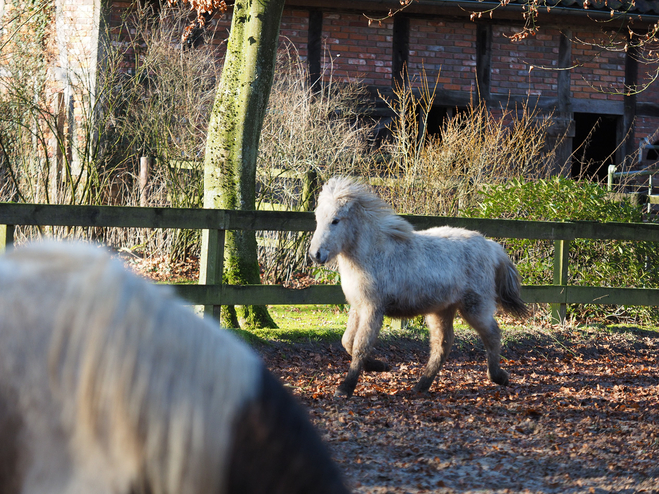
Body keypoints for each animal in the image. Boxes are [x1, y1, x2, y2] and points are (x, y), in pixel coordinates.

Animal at [310, 178, 532, 398]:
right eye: (317, 219)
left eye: (335, 220)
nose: (315, 255)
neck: (373, 254)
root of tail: (491, 247)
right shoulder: (358, 307)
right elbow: (347, 341)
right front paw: (380, 365)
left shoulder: (373, 309)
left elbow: (360, 346)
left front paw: (345, 388)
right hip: (441, 311)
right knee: (442, 345)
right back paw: (422, 385)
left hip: (475, 307)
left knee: (492, 335)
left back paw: (498, 376)